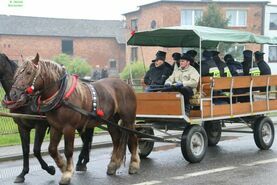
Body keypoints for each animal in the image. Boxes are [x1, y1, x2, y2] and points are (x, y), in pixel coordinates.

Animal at [9, 53, 139, 185]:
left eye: (29, 72)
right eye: (17, 72)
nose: (13, 94)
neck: (61, 95)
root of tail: (125, 84)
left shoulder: (69, 128)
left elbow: (68, 150)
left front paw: (67, 173)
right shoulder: (56, 127)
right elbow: (52, 149)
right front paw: (62, 166)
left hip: (128, 119)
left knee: (133, 138)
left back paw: (134, 164)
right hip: (111, 120)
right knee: (116, 139)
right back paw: (113, 165)